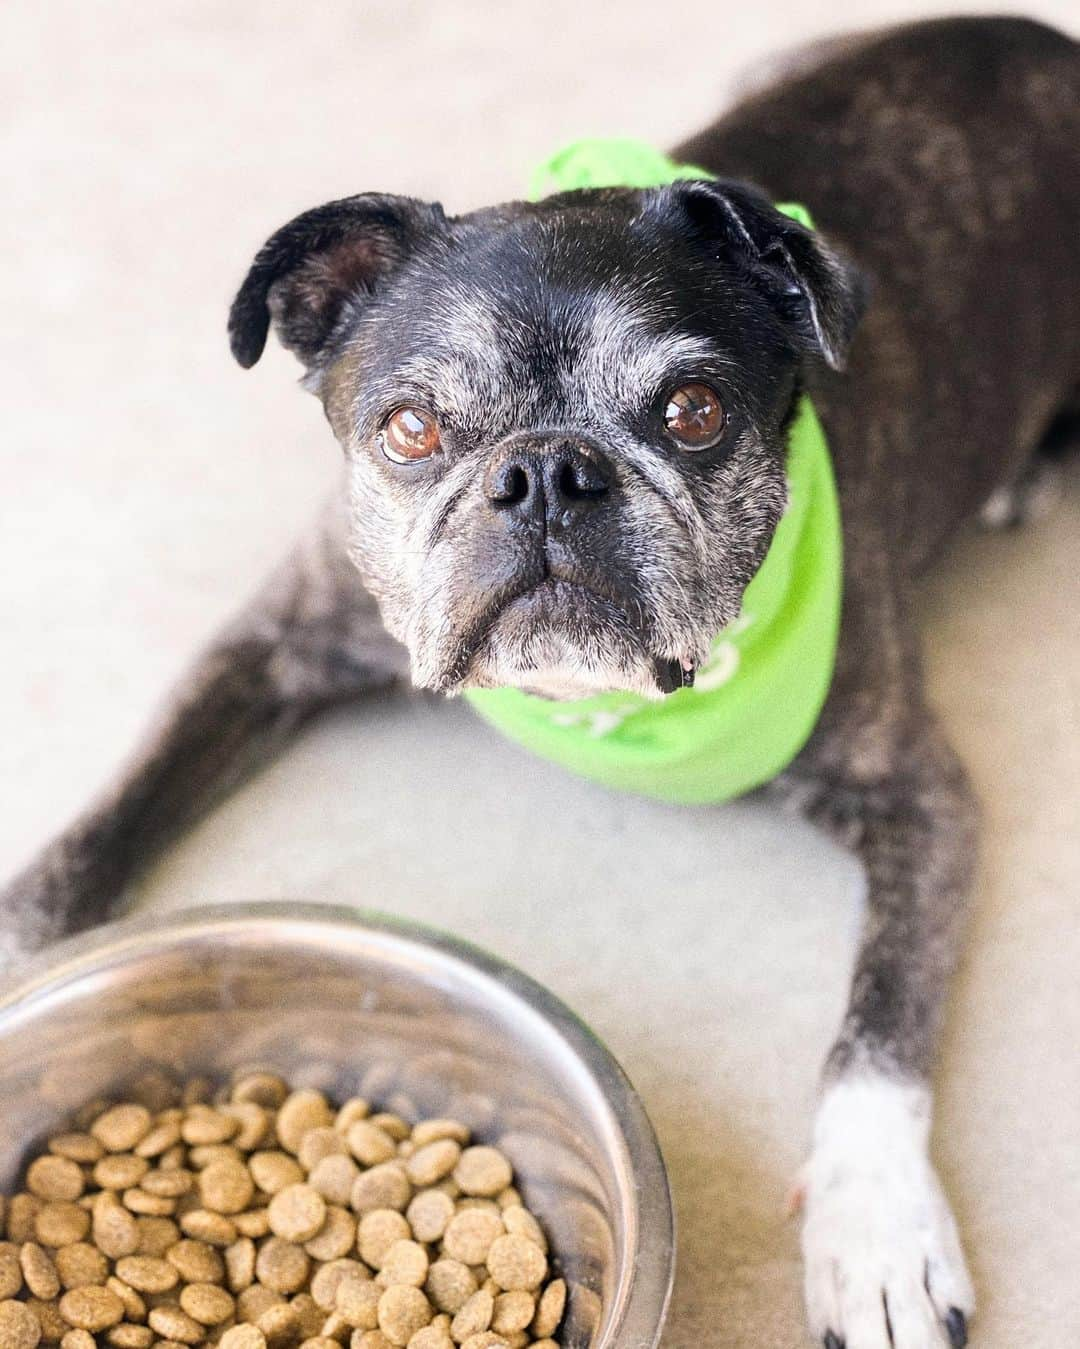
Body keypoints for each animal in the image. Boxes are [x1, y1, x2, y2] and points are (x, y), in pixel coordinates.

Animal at [2, 13, 1078, 1349]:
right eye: (411, 429)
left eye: (695, 410)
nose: (550, 473)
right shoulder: (272, 642)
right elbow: (95, 831)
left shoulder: (921, 798)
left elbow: (879, 1035)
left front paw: (875, 1227)